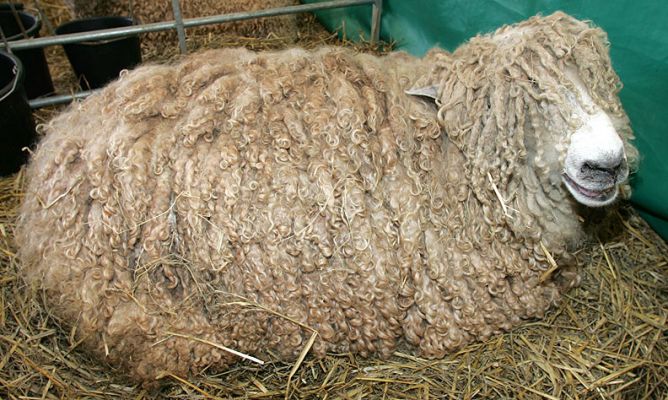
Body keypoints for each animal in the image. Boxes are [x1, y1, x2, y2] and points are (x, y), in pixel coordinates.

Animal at [16, 12, 637, 384]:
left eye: (601, 84)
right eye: (514, 105)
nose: (605, 163)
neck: (444, 153)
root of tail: (52, 151)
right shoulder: (455, 306)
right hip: (133, 308)